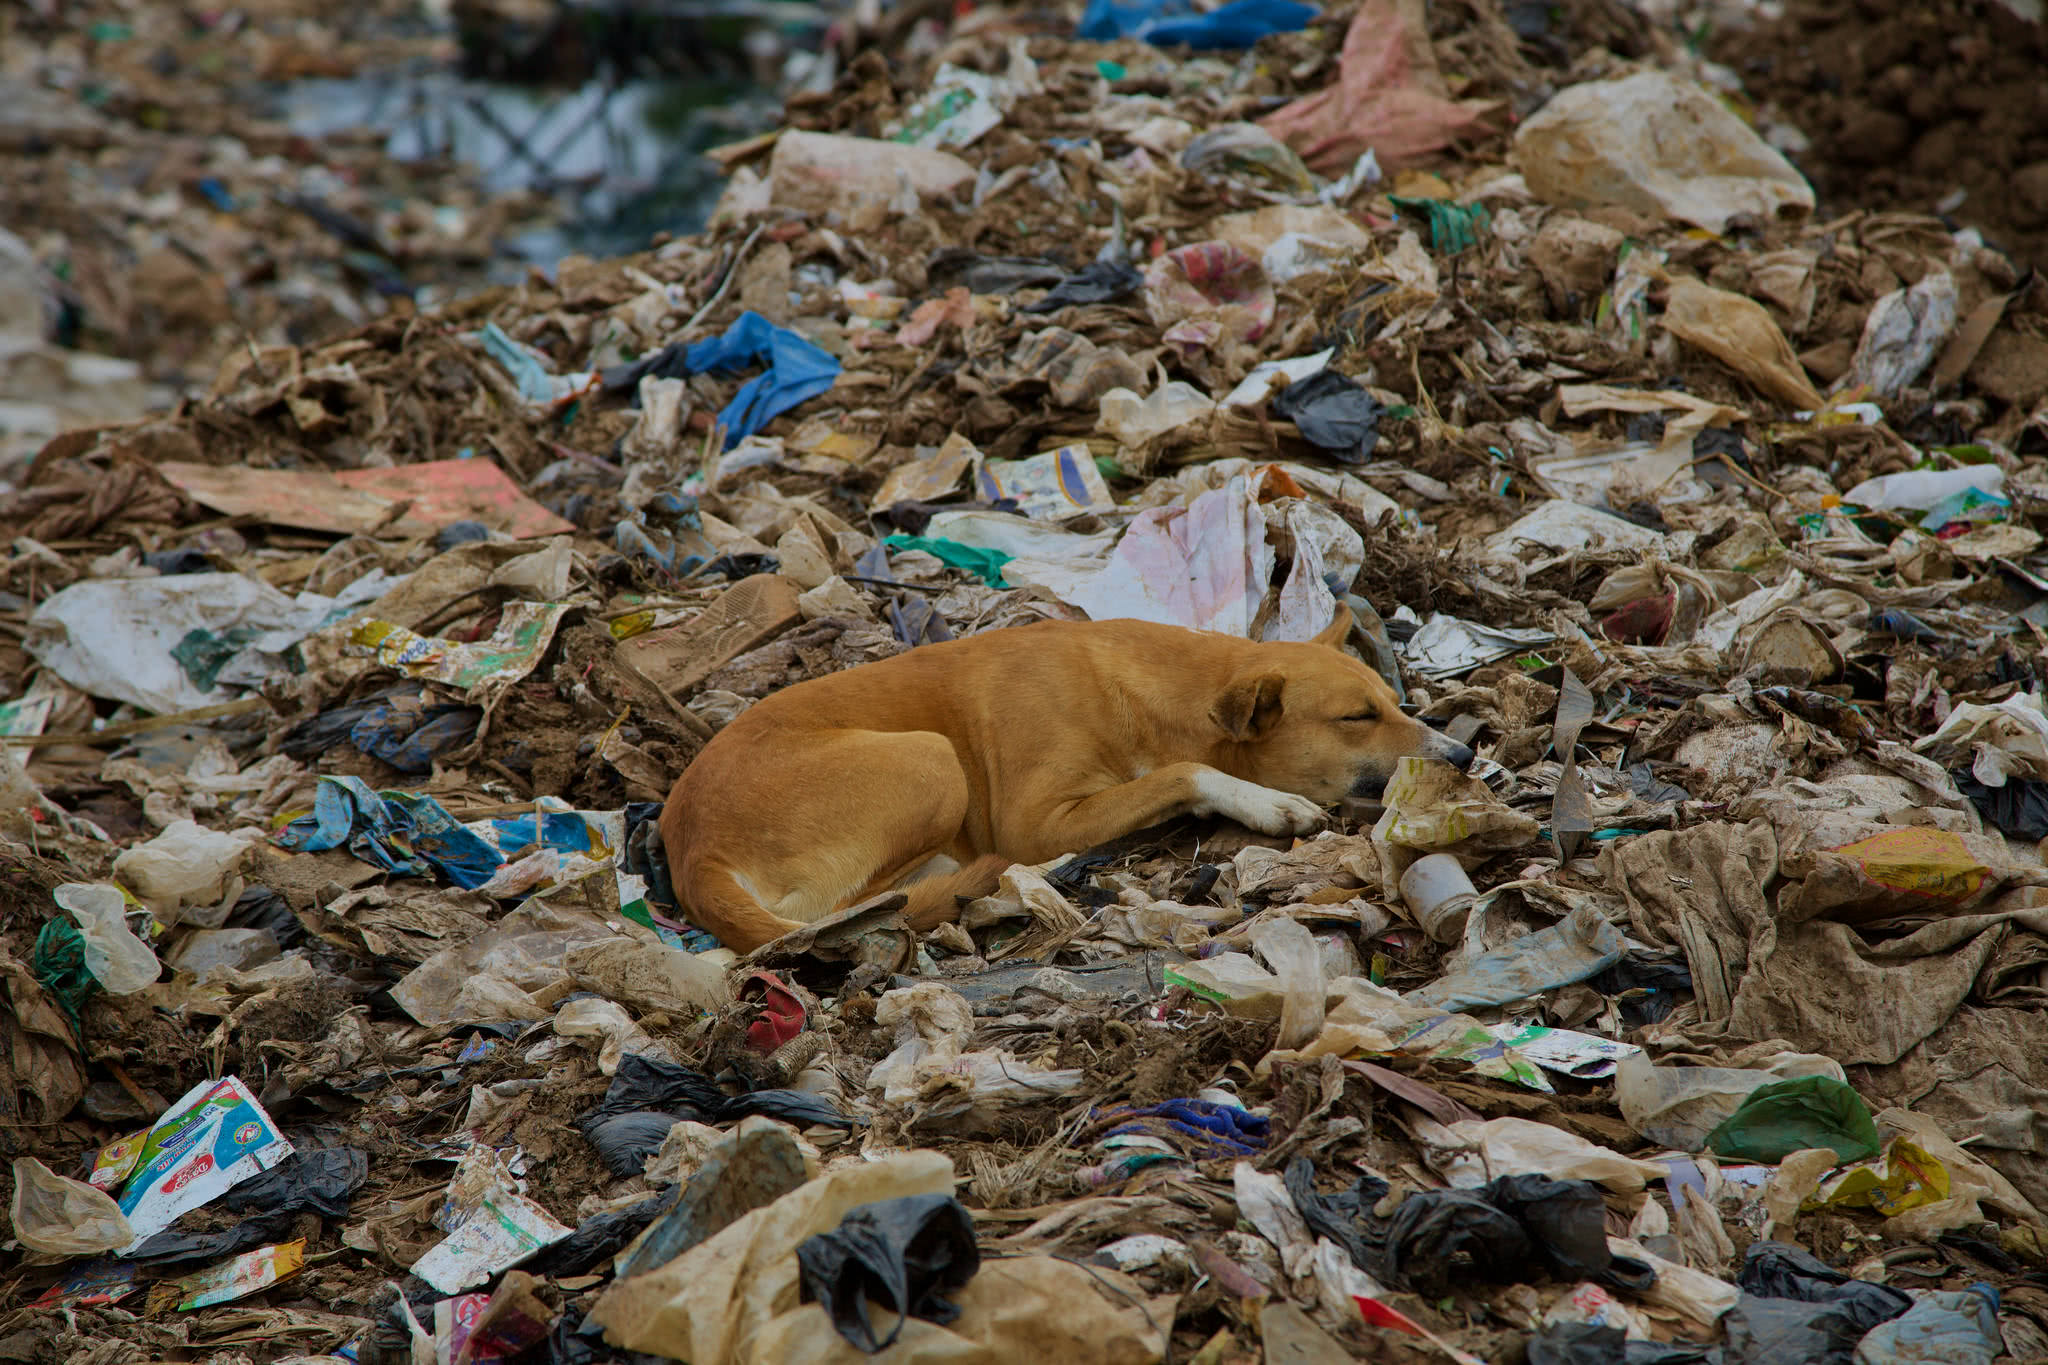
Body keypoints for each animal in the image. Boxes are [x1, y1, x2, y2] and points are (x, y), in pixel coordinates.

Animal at [663, 609, 1482, 949]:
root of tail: (693, 851)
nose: (1463, 756)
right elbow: (1187, 770)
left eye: (1392, 703)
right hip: (931, 757)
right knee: (873, 905)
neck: (1147, 692)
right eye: (1356, 717)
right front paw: (1264, 801)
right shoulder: (1035, 816)